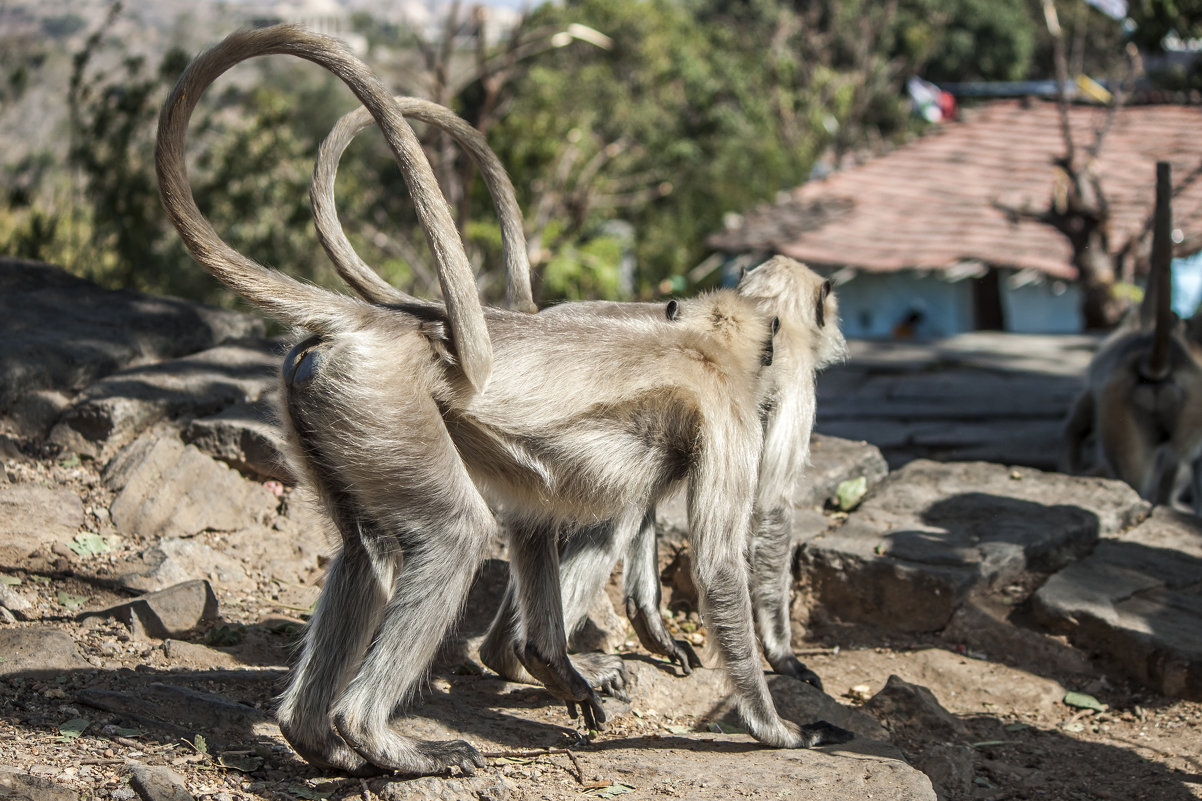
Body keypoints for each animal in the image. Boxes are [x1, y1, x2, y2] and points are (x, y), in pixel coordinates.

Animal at [305, 99, 851, 687]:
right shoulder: (791, 382)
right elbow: (770, 506)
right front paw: (782, 654)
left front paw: (653, 625)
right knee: (604, 520)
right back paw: (519, 657)